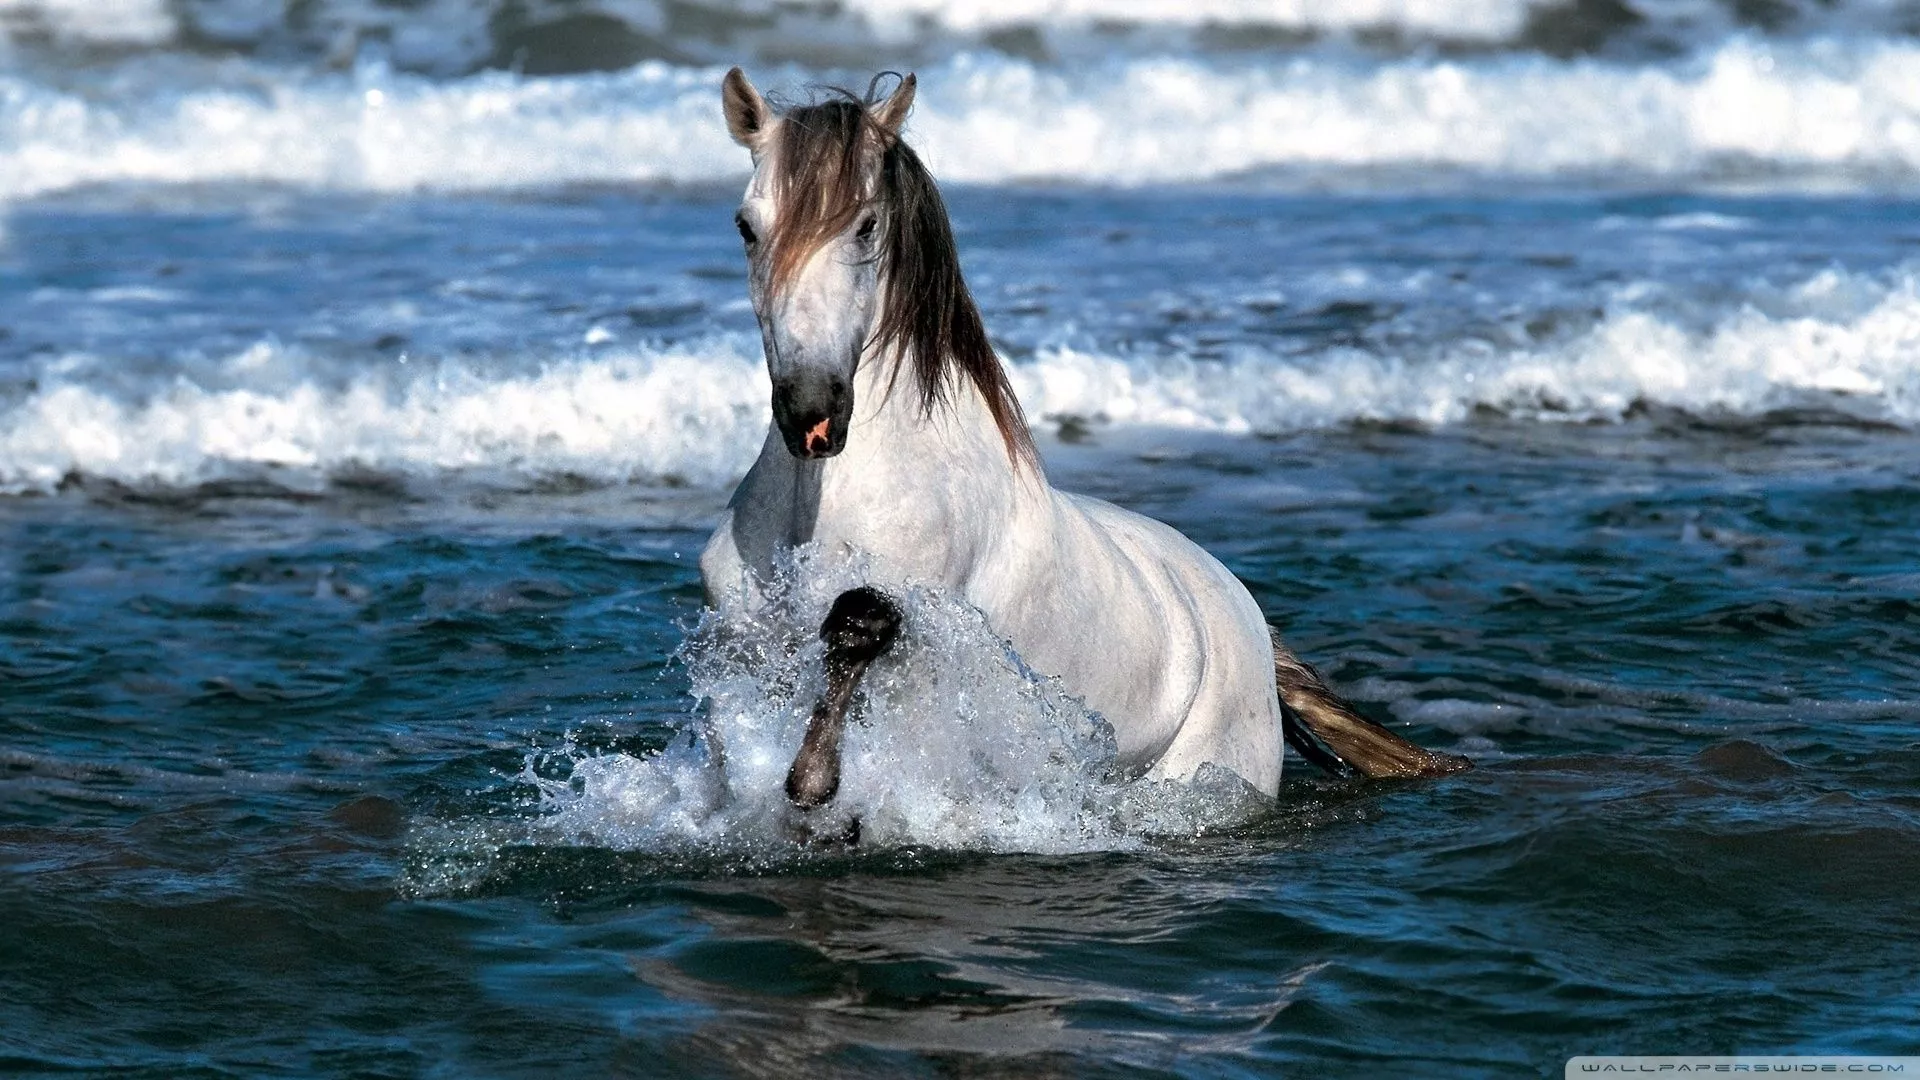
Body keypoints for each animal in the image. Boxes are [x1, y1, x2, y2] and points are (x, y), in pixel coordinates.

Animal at [698, 68, 1469, 818]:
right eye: (745, 227)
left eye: (865, 226)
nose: (812, 413)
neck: (822, 503)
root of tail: (1248, 617)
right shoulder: (743, 643)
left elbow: (860, 625)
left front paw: (814, 782)